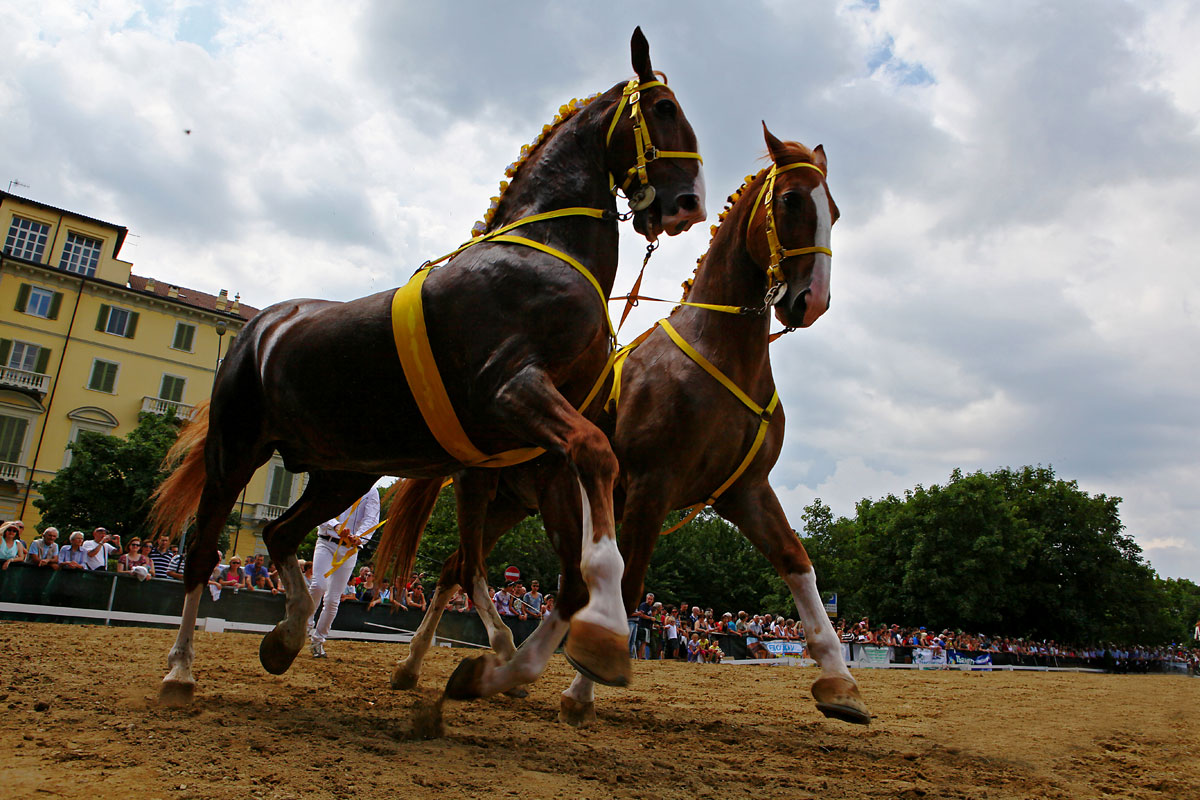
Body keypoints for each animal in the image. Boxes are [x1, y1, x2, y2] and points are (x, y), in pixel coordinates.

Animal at [148, 27, 706, 705]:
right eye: (664, 108)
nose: (688, 204)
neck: (543, 253)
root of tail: (258, 327)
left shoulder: (543, 451)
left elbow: (564, 576)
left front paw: (510, 667)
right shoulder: (511, 391)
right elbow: (596, 462)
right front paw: (596, 632)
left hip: (343, 472)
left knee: (282, 536)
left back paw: (286, 637)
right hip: (236, 451)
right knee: (204, 553)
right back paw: (181, 669)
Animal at [375, 126, 870, 726]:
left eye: (835, 212)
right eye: (793, 201)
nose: (811, 301)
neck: (724, 356)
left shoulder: (745, 492)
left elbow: (798, 564)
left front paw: (841, 682)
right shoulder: (652, 488)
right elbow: (628, 590)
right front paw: (580, 686)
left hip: (514, 501)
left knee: (453, 568)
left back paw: (427, 667)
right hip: (487, 487)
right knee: (464, 570)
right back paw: (451, 662)